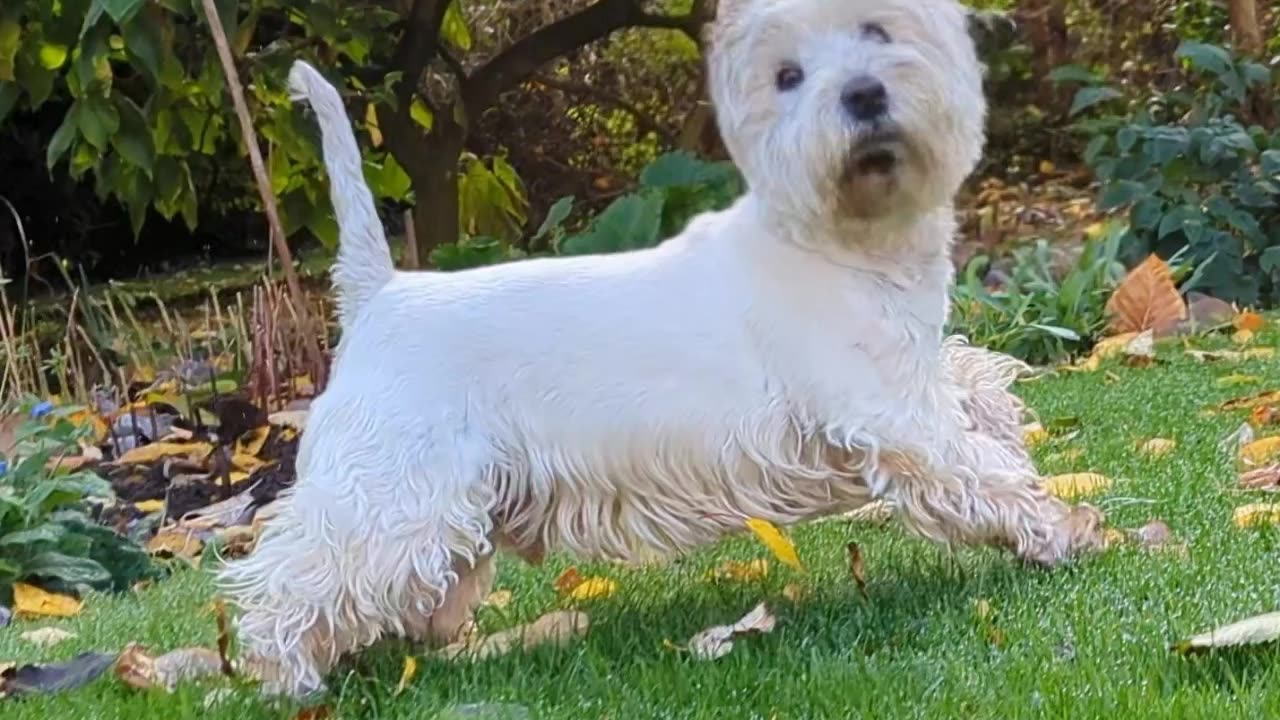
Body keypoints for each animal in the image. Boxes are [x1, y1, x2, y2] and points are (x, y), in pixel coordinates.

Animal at [220, 0, 1100, 696]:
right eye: (787, 75)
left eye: (878, 31)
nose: (863, 94)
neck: (844, 240)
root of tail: (377, 297)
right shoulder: (888, 417)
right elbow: (976, 473)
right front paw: (1064, 530)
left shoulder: (910, 375)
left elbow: (975, 386)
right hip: (393, 491)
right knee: (297, 579)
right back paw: (286, 678)